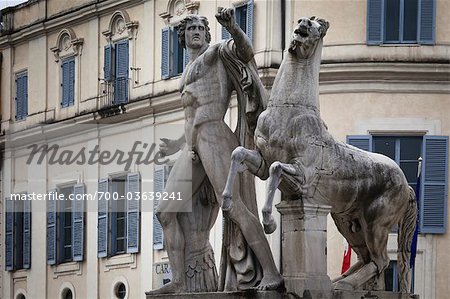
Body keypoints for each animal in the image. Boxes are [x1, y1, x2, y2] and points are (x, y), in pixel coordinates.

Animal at [223, 16, 416, 292]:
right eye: (302, 21)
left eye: (318, 27)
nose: (303, 22)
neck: (290, 111)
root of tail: (407, 186)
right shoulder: (260, 161)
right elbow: (238, 153)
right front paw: (227, 202)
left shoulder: (303, 175)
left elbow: (276, 168)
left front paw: (269, 221)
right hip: (348, 222)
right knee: (367, 259)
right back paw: (341, 282)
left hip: (376, 224)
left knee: (379, 261)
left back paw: (344, 285)